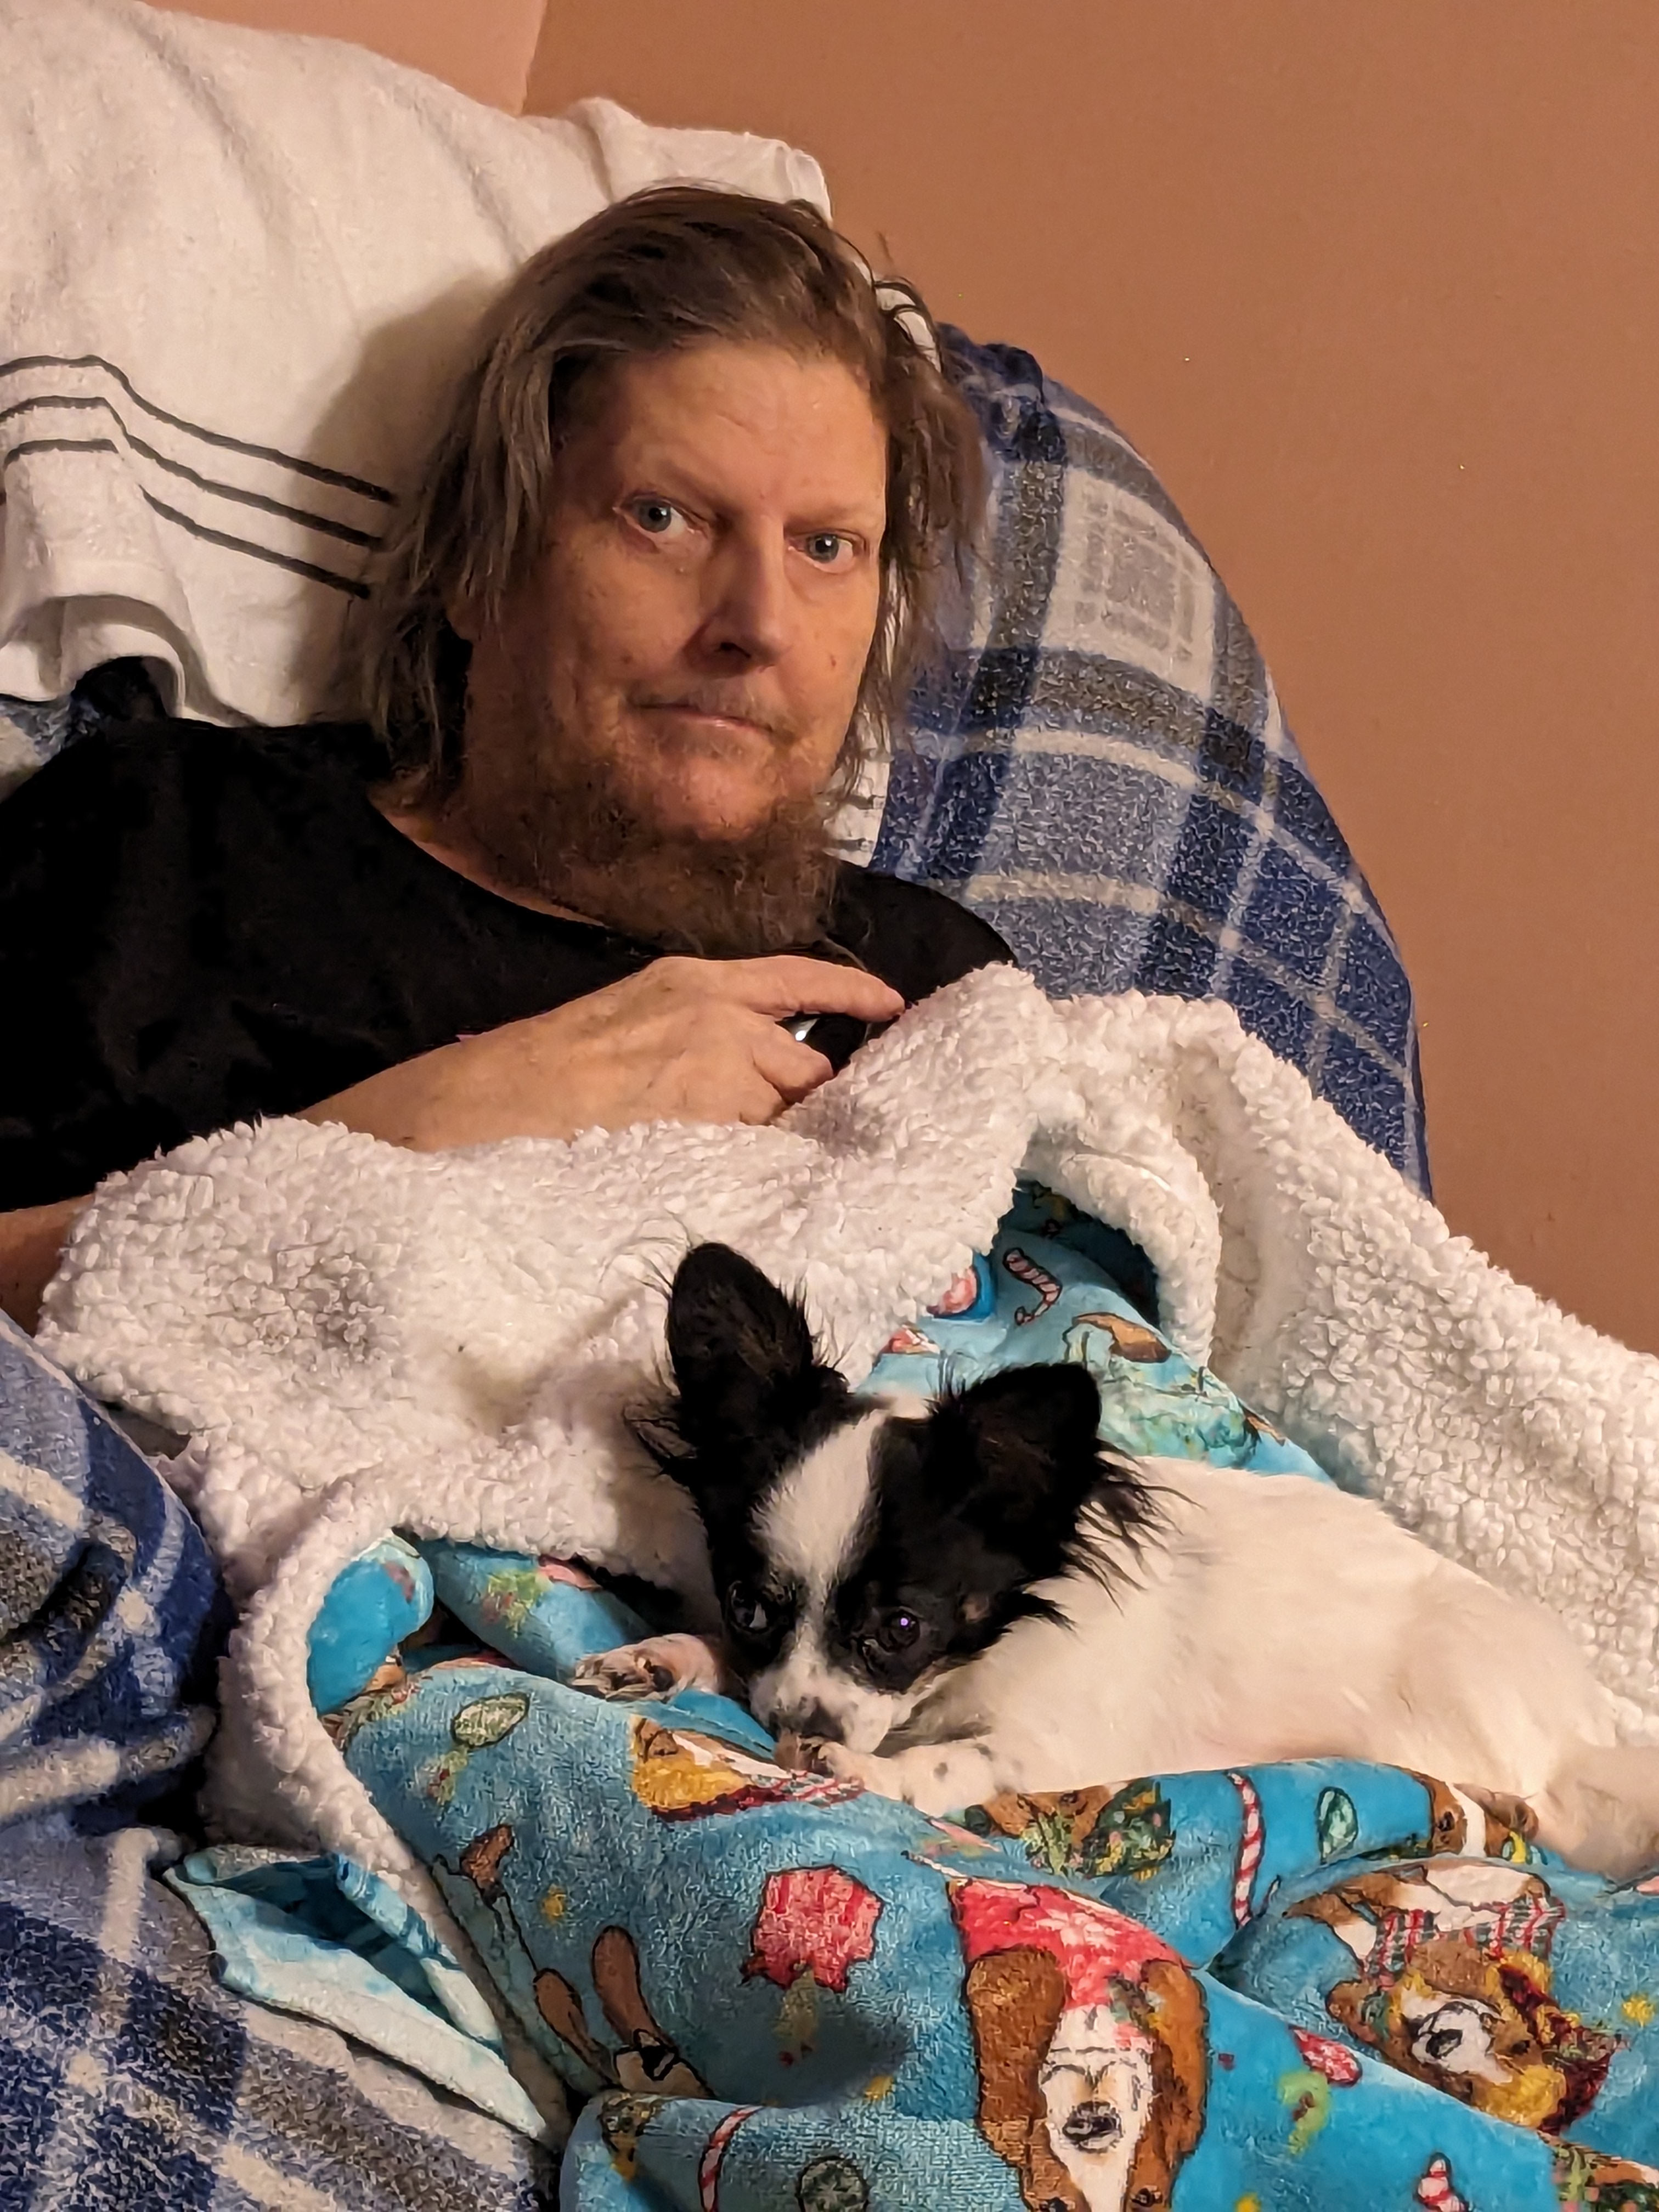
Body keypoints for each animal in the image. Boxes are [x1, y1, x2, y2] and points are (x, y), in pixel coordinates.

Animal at [573, 1242, 1659, 1879]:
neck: (965, 1668)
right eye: (749, 1606)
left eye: (901, 1629)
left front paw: (855, 1764)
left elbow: (943, 1764)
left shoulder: (1041, 1749)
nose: (792, 1724)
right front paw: (665, 1656)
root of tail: (1584, 1729)